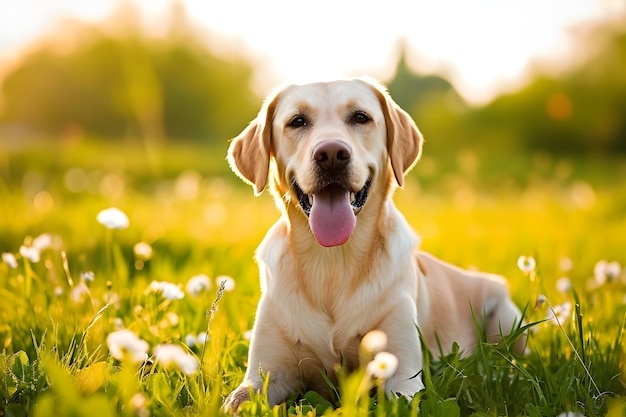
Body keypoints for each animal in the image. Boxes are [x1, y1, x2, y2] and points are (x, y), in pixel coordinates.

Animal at [222, 76, 524, 412]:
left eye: (360, 117)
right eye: (297, 121)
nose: (331, 153)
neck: (332, 262)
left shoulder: (402, 375)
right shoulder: (263, 376)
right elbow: (236, 401)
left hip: (505, 316)